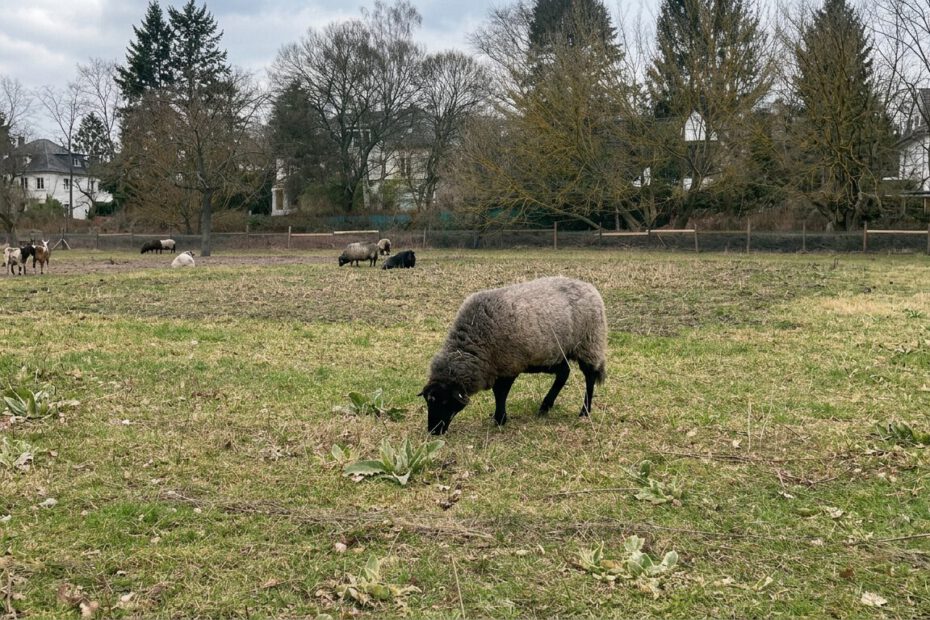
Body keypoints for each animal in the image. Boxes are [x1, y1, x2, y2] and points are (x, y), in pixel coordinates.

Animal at [419, 276, 607, 435]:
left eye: (445, 402)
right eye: (428, 401)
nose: (433, 432)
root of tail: (588, 286)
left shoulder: (508, 365)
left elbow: (500, 393)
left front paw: (500, 419)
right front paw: (499, 418)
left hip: (589, 344)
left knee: (589, 378)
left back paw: (584, 411)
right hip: (556, 353)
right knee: (564, 374)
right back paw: (545, 407)